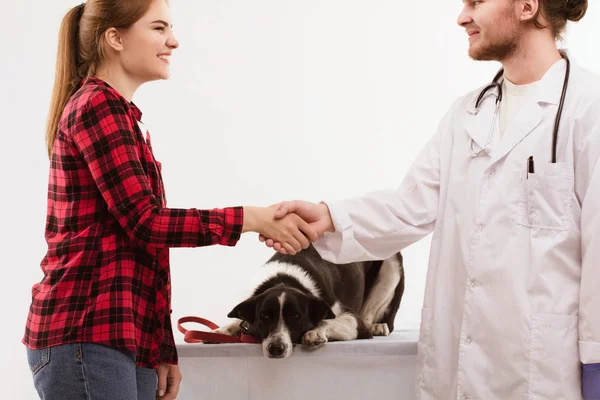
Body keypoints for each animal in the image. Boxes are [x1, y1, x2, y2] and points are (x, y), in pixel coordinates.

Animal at [213, 244, 406, 360]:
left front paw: (315, 332)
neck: (284, 279)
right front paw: (221, 331)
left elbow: (328, 321)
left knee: (369, 316)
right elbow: (238, 321)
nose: (276, 348)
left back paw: (377, 326)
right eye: (264, 316)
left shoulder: (352, 319)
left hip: (391, 265)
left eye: (295, 316)